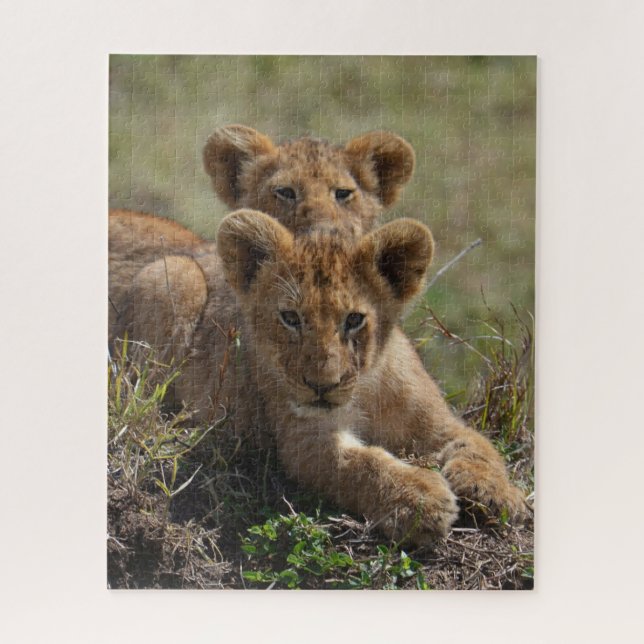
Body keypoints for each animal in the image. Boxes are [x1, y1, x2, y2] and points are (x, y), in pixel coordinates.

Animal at [109, 208, 526, 544]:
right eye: (290, 318)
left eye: (354, 319)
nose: (321, 386)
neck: (363, 391)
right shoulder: (304, 441)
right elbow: (361, 465)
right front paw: (420, 500)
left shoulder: (437, 424)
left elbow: (479, 446)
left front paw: (496, 494)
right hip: (173, 274)